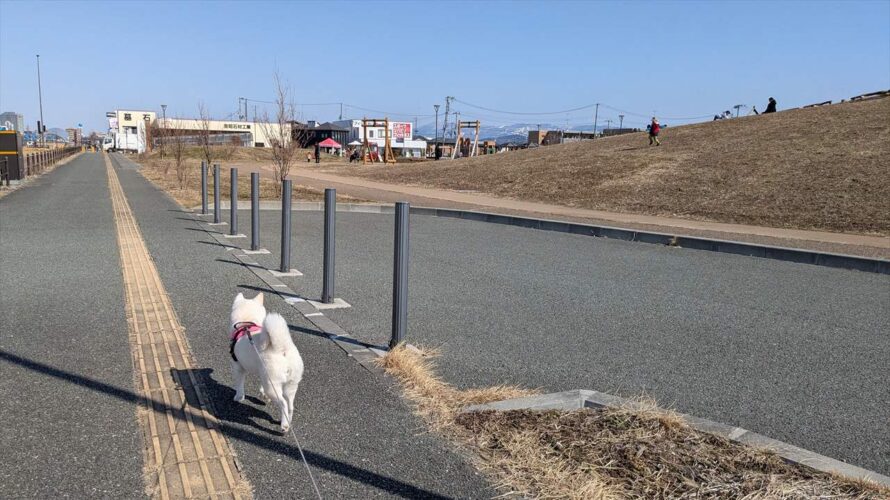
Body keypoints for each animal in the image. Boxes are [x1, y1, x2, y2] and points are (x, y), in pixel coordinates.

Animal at [231, 292, 304, 432]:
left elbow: (239, 384)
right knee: (290, 406)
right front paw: (262, 394)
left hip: (273, 385)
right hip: (290, 384)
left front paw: (239, 397)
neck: (247, 324)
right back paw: (287, 421)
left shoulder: (238, 367)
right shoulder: (262, 373)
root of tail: (281, 349)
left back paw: (284, 425)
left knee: (283, 403)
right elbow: (260, 384)